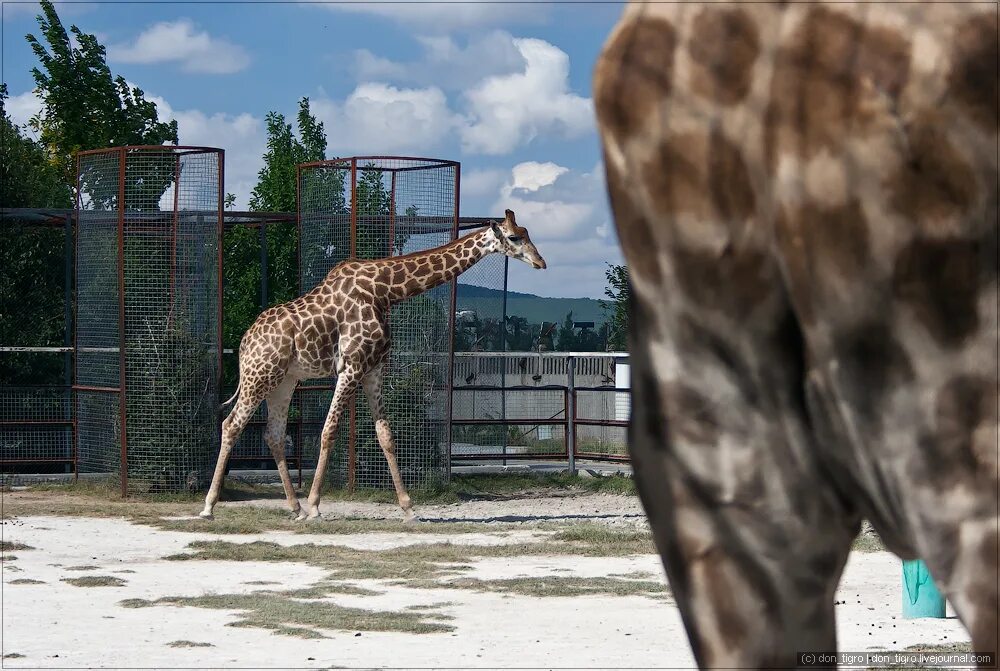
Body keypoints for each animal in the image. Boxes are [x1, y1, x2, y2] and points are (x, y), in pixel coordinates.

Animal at [200, 210, 548, 524]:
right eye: (514, 237)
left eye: (528, 233)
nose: (541, 263)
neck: (385, 291)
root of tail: (244, 343)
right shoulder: (351, 367)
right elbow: (329, 430)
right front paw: (315, 507)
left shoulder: (374, 369)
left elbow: (385, 435)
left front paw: (408, 509)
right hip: (259, 375)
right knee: (231, 424)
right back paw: (210, 507)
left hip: (284, 381)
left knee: (273, 434)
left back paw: (293, 508)